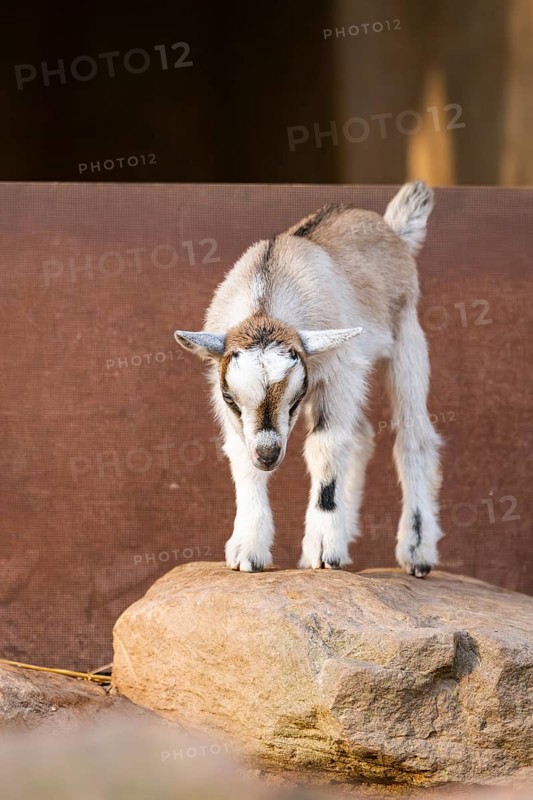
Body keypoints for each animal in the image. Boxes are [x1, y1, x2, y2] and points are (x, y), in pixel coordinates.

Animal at [175, 181, 443, 576]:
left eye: (295, 398)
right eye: (230, 399)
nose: (269, 454)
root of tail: (393, 230)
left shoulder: (338, 372)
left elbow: (325, 447)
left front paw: (323, 548)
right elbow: (240, 455)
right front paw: (247, 550)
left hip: (407, 338)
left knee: (413, 437)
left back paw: (417, 551)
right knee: (361, 435)